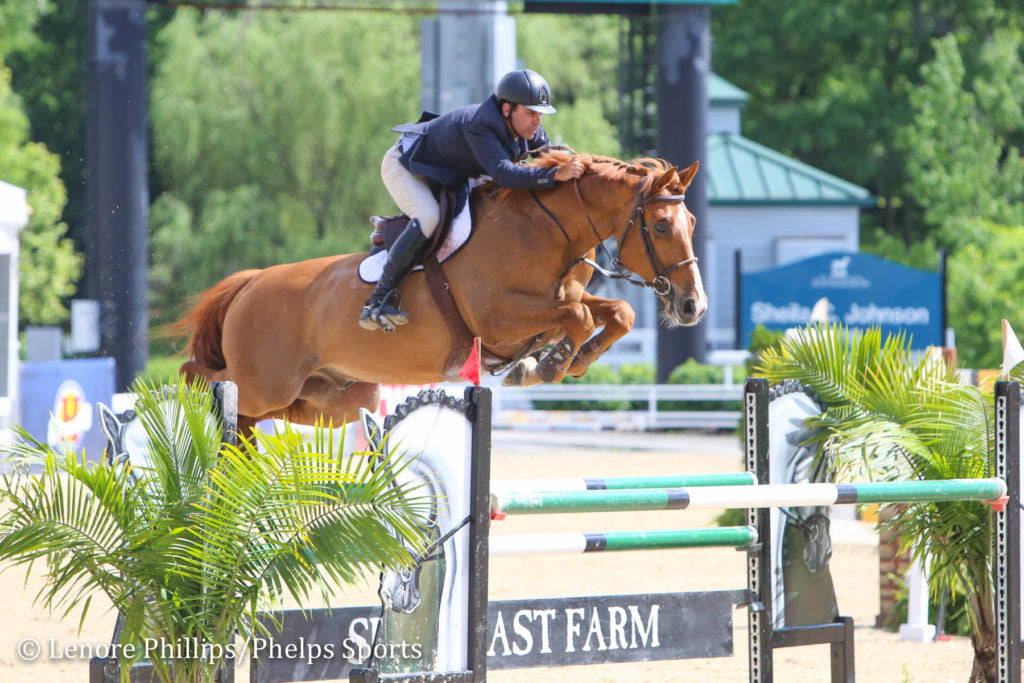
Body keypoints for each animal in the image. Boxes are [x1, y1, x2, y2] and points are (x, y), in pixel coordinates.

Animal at [174, 152, 704, 432]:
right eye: (660, 225)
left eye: (693, 222)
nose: (692, 306)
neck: (546, 229)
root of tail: (251, 281)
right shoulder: (499, 319)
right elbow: (579, 317)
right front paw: (549, 365)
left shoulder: (558, 299)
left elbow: (614, 313)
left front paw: (562, 362)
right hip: (265, 381)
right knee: (201, 378)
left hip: (335, 397)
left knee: (268, 412)